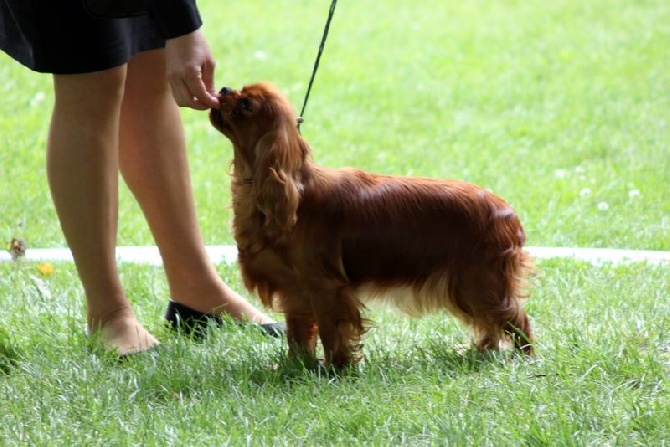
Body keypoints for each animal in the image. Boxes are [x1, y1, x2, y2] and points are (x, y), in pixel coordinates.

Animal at [210, 82, 536, 370]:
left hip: (480, 282)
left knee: (516, 319)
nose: (223, 88)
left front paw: (335, 370)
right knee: (489, 322)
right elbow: (298, 335)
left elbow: (331, 332)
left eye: (246, 104)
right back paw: (481, 351)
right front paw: (294, 367)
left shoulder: (325, 287)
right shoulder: (296, 290)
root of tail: (507, 211)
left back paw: (526, 359)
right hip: (468, 288)